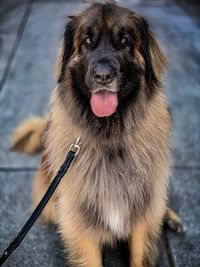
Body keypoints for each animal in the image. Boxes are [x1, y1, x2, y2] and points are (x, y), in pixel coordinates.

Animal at [12, 2, 184, 267]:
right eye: (86, 41)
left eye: (124, 41)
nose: (103, 76)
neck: (110, 135)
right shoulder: (79, 223)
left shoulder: (142, 214)